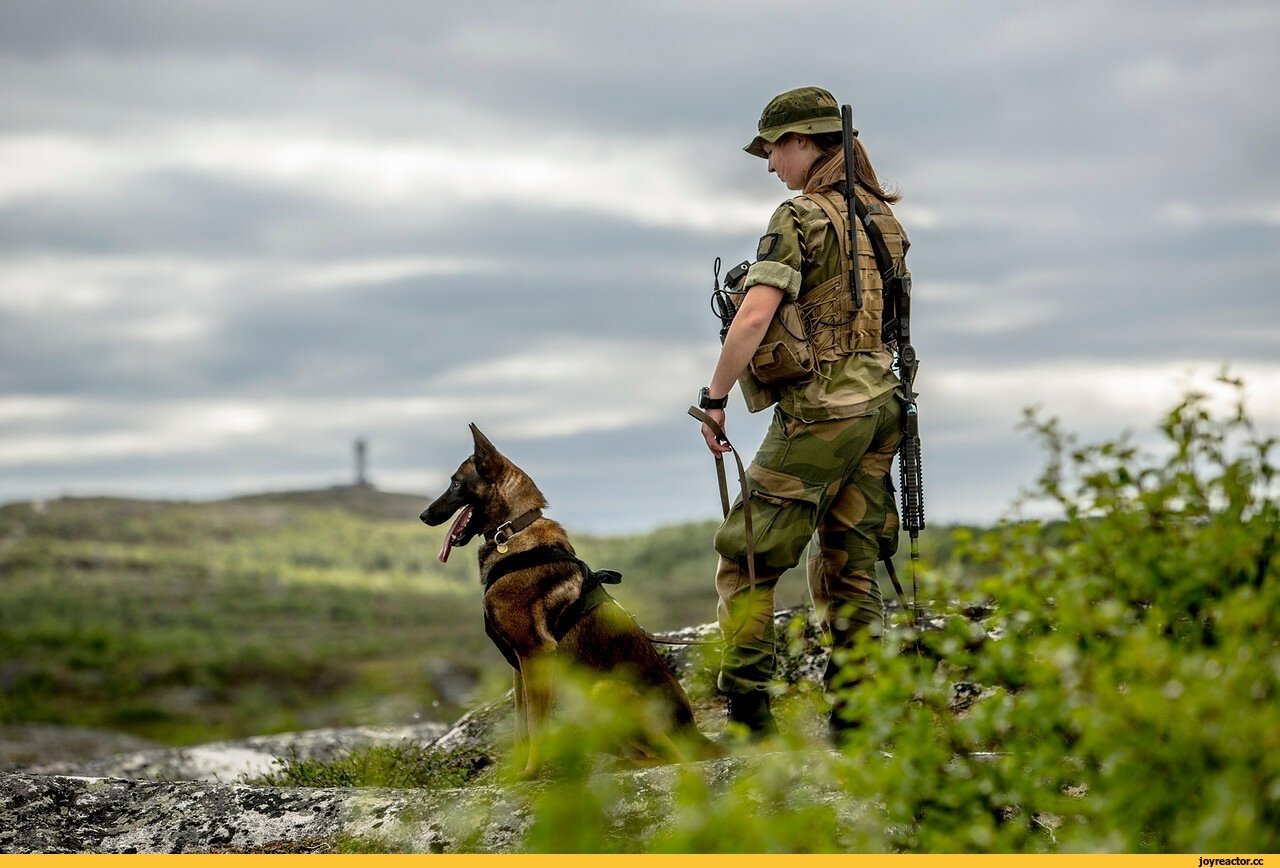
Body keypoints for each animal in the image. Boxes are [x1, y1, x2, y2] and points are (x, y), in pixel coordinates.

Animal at [419, 425, 721, 773]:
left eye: (456, 483)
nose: (423, 515)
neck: (513, 533)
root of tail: (697, 734)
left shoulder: (534, 656)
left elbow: (536, 726)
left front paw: (531, 772)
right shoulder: (520, 667)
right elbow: (522, 726)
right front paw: (517, 772)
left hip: (606, 688)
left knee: (674, 756)